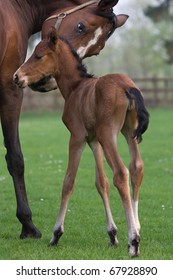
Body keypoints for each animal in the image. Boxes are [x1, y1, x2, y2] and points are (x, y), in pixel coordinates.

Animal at [0, 0, 125, 238]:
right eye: (80, 26)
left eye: (97, 50)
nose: (47, 80)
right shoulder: (9, 90)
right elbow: (16, 159)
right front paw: (28, 224)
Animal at [13, 27, 149, 256]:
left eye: (38, 56)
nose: (16, 76)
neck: (76, 88)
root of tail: (127, 87)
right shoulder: (93, 141)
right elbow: (101, 182)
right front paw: (112, 234)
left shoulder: (76, 138)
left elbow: (68, 182)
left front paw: (56, 234)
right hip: (128, 131)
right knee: (136, 167)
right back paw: (137, 228)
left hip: (109, 134)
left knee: (121, 172)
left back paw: (134, 241)